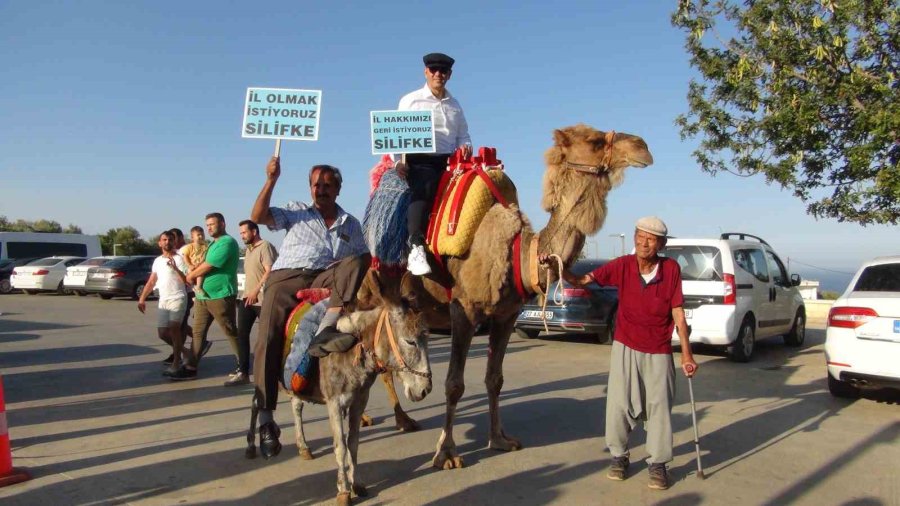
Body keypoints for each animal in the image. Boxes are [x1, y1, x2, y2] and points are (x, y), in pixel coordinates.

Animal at [366, 124, 652, 468]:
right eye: (595, 141)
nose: (642, 146)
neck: (517, 252)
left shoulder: (506, 315)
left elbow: (495, 379)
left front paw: (499, 439)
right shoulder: (464, 310)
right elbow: (454, 384)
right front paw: (446, 452)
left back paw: (402, 419)